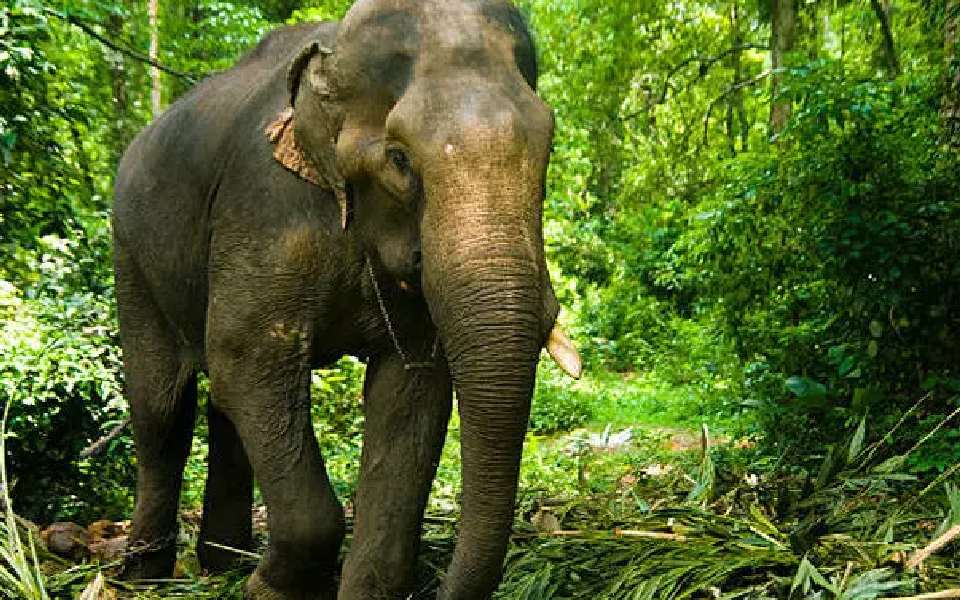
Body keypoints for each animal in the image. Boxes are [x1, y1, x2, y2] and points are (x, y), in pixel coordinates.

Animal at [111, 0, 581, 598]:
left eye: (548, 151)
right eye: (400, 159)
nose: (441, 585)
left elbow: (410, 391)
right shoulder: (266, 208)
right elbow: (246, 356)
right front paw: (266, 589)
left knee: (220, 405)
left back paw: (224, 564)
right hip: (130, 251)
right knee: (163, 408)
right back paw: (144, 577)